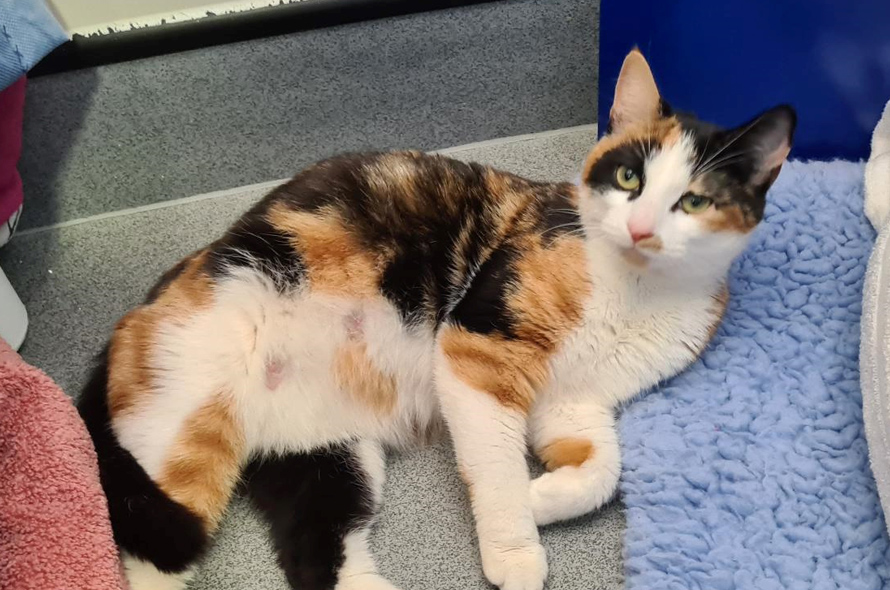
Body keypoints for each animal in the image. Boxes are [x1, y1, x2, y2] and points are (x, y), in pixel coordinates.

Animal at [80, 51, 796, 590]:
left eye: (693, 201)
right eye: (627, 178)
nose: (642, 228)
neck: (635, 292)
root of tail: (141, 308)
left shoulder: (575, 402)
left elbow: (604, 470)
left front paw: (544, 499)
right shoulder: (476, 347)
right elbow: (498, 468)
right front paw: (516, 547)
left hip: (326, 458)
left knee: (317, 550)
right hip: (184, 425)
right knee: (148, 549)